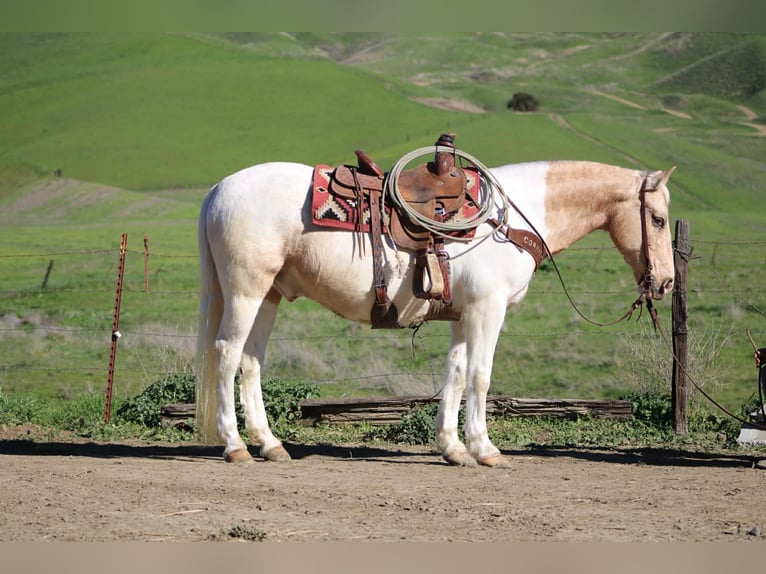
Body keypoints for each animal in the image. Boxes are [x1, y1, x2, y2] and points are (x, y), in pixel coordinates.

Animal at [196, 154, 676, 467]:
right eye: (657, 219)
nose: (667, 283)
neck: (506, 220)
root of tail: (218, 189)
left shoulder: (463, 316)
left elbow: (456, 375)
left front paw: (453, 448)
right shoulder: (487, 310)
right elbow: (480, 377)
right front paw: (485, 449)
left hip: (269, 296)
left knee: (251, 361)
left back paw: (270, 444)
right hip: (245, 291)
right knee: (226, 354)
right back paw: (235, 446)